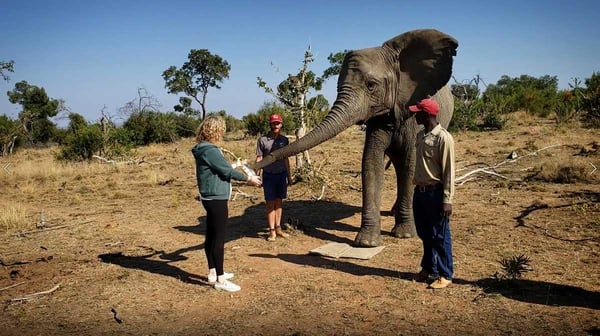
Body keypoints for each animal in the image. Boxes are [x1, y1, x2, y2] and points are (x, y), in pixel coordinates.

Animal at [254, 28, 460, 247]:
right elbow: (371, 161)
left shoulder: (410, 110)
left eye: (371, 85)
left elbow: (410, 163)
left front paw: (403, 235)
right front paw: (366, 242)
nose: (256, 165)